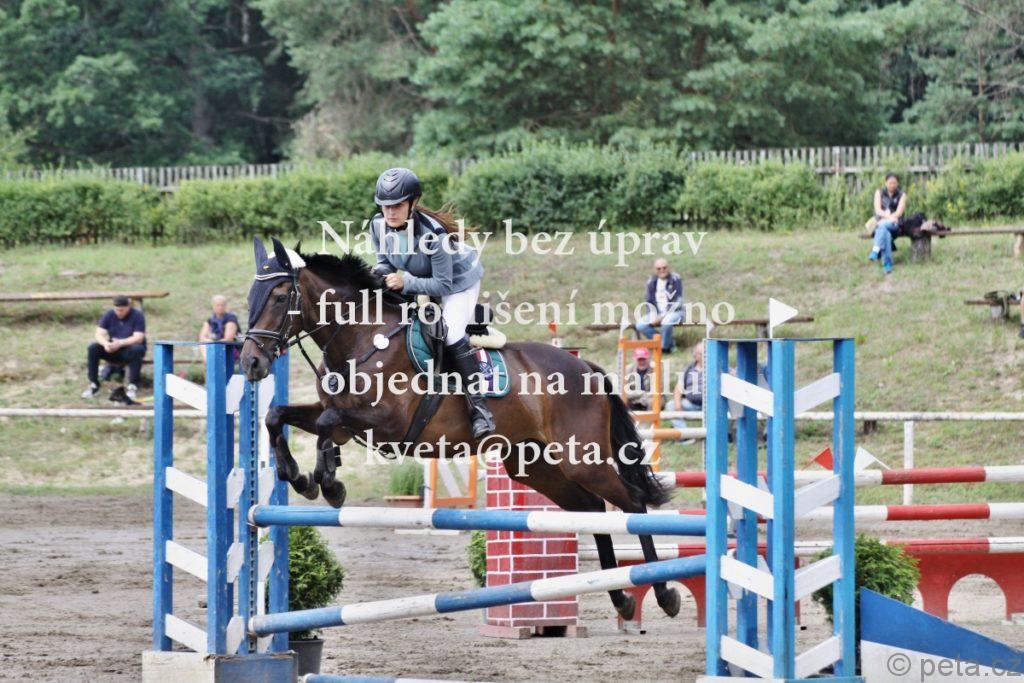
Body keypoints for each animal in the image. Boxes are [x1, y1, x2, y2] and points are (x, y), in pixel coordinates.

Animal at [240, 237, 681, 621]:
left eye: (279, 297)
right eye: (250, 297)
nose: (250, 363)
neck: (361, 338)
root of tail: (584, 367)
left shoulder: (388, 423)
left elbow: (327, 424)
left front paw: (328, 483)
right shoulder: (343, 418)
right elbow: (277, 416)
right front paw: (298, 476)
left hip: (582, 458)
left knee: (632, 502)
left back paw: (663, 593)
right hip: (534, 464)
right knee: (590, 509)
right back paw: (620, 597)